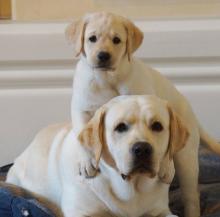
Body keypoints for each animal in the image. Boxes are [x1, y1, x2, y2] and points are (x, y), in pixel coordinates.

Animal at [6, 95, 186, 217]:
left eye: (157, 126)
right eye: (120, 127)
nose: (142, 149)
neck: (130, 189)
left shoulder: (161, 210)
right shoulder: (80, 211)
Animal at [66, 11, 220, 217]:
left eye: (116, 40)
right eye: (92, 38)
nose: (103, 55)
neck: (108, 79)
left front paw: (164, 165)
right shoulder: (81, 108)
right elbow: (82, 132)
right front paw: (86, 162)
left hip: (187, 160)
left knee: (191, 196)